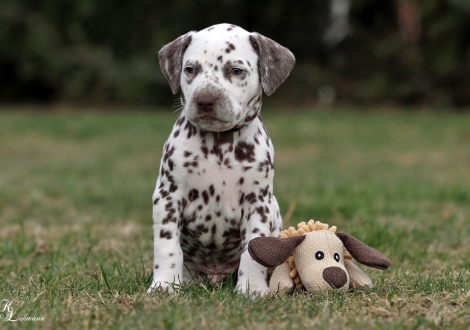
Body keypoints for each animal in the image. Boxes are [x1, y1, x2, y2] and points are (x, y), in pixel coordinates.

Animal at [149, 23, 294, 296]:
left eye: (236, 70)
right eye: (190, 69)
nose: (205, 100)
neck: (219, 146)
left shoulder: (258, 203)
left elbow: (253, 251)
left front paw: (252, 288)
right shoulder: (168, 196)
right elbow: (167, 245)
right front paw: (164, 284)